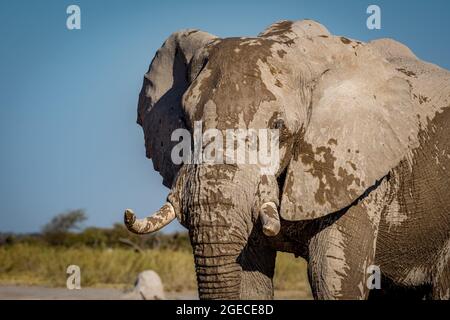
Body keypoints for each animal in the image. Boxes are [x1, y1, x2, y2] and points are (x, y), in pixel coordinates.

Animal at [124, 20, 450, 300]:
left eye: (278, 126)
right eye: (185, 121)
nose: (127, 213)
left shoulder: (357, 174)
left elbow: (331, 275)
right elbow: (248, 276)